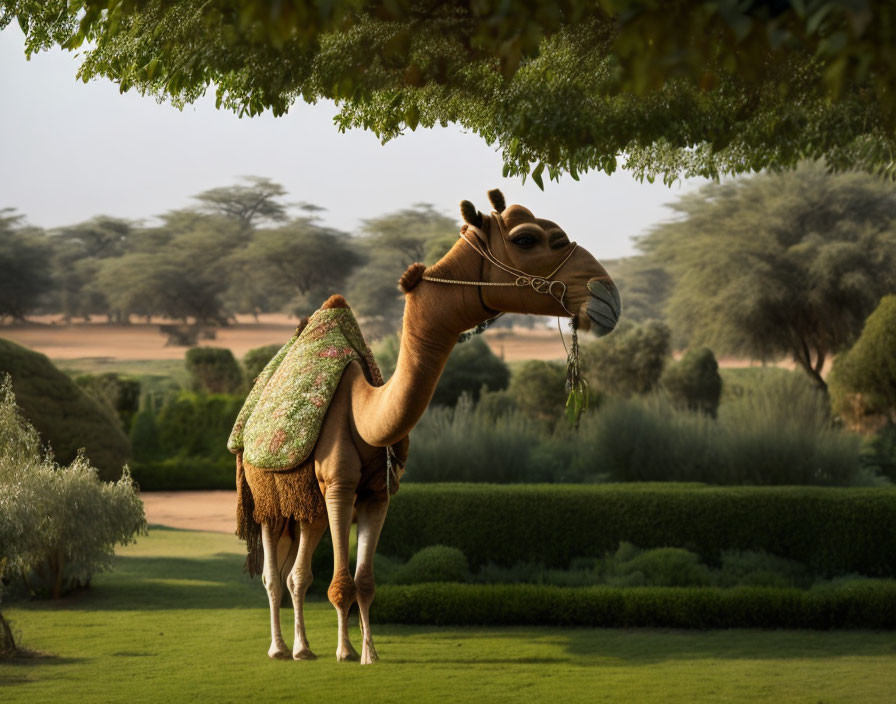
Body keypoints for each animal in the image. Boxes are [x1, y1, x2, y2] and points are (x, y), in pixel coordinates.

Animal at [234, 190, 620, 664]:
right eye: (527, 238)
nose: (606, 295)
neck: (365, 413)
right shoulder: (339, 484)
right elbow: (340, 584)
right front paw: (345, 653)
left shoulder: (378, 493)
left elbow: (364, 582)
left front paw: (369, 653)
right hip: (265, 494)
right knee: (273, 572)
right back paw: (278, 649)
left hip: (307, 502)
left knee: (297, 573)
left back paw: (304, 649)